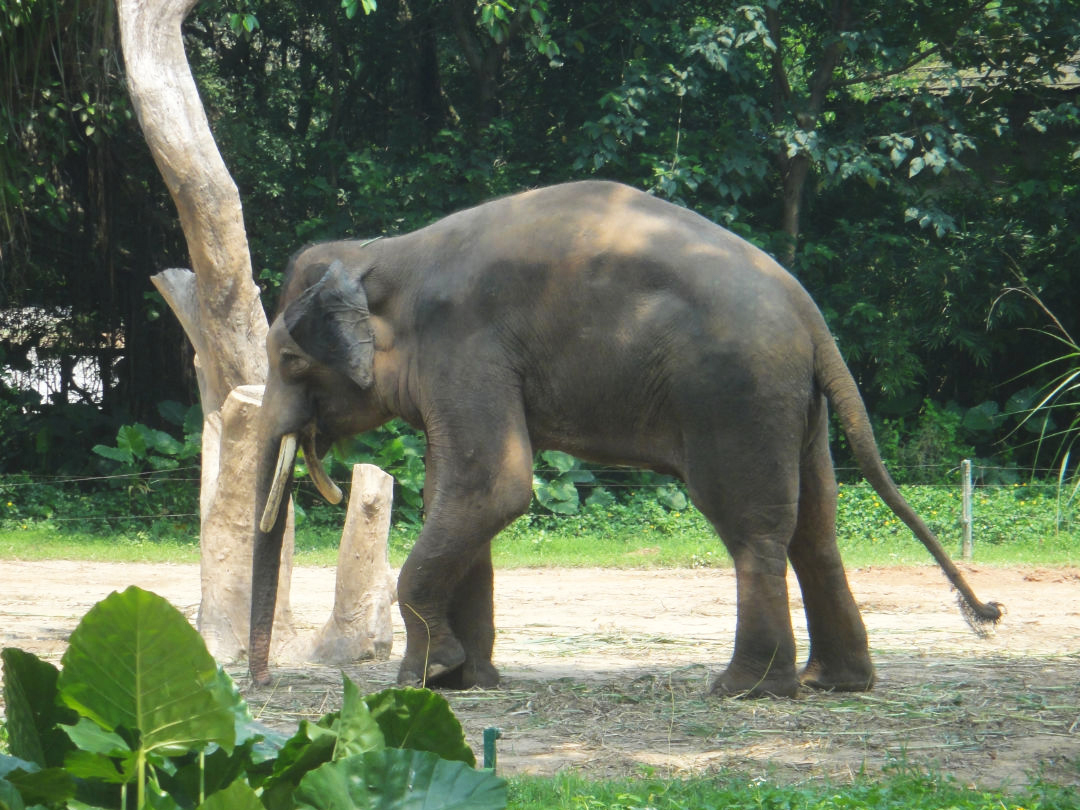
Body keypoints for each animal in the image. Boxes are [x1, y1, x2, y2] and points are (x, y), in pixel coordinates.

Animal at [249, 180, 1002, 697]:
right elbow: (459, 496)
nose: (260, 683)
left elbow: (494, 489)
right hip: (797, 405)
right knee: (817, 528)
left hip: (734, 395)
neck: (384, 251)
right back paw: (833, 684)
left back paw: (743, 689)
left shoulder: (466, 348)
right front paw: (464, 683)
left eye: (288, 361)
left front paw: (425, 679)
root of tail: (809, 311)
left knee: (755, 529)